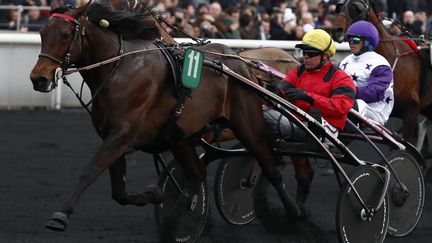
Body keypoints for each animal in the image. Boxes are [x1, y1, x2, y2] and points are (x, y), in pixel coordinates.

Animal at [28, 0, 306, 238]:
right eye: (42, 33)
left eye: (65, 35)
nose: (38, 78)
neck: (119, 70)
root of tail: (241, 64)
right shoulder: (115, 135)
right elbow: (120, 192)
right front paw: (155, 195)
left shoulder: (121, 136)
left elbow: (90, 171)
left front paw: (60, 215)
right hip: (181, 138)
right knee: (197, 175)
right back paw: (173, 222)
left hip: (248, 126)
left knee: (273, 167)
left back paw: (294, 215)